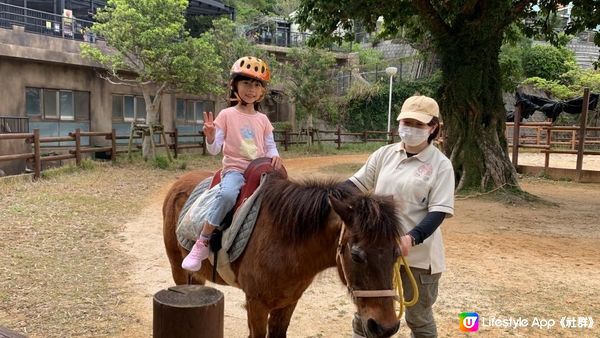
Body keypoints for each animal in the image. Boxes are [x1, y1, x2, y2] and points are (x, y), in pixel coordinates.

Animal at [163, 172, 404, 338]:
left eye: (396, 253)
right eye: (356, 255)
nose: (386, 327)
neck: (284, 246)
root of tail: (179, 183)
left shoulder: (288, 303)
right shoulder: (256, 304)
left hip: (198, 277)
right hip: (177, 267)